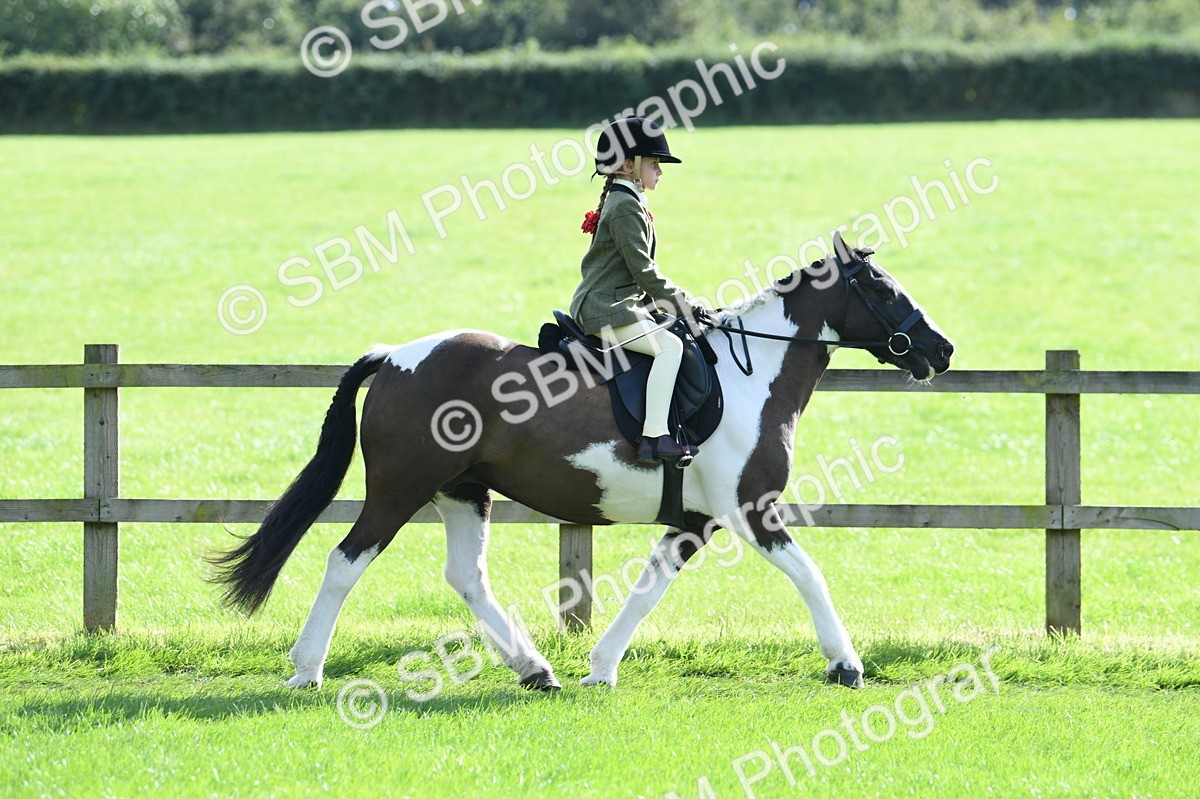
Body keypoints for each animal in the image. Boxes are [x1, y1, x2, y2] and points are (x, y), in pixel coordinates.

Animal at [208, 233, 954, 691]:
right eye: (883, 287)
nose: (941, 350)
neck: (752, 373)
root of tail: (395, 356)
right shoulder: (750, 509)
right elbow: (809, 574)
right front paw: (846, 664)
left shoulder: (694, 520)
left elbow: (649, 587)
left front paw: (600, 666)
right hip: (399, 491)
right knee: (344, 561)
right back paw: (306, 669)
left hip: (463, 491)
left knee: (465, 576)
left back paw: (536, 670)